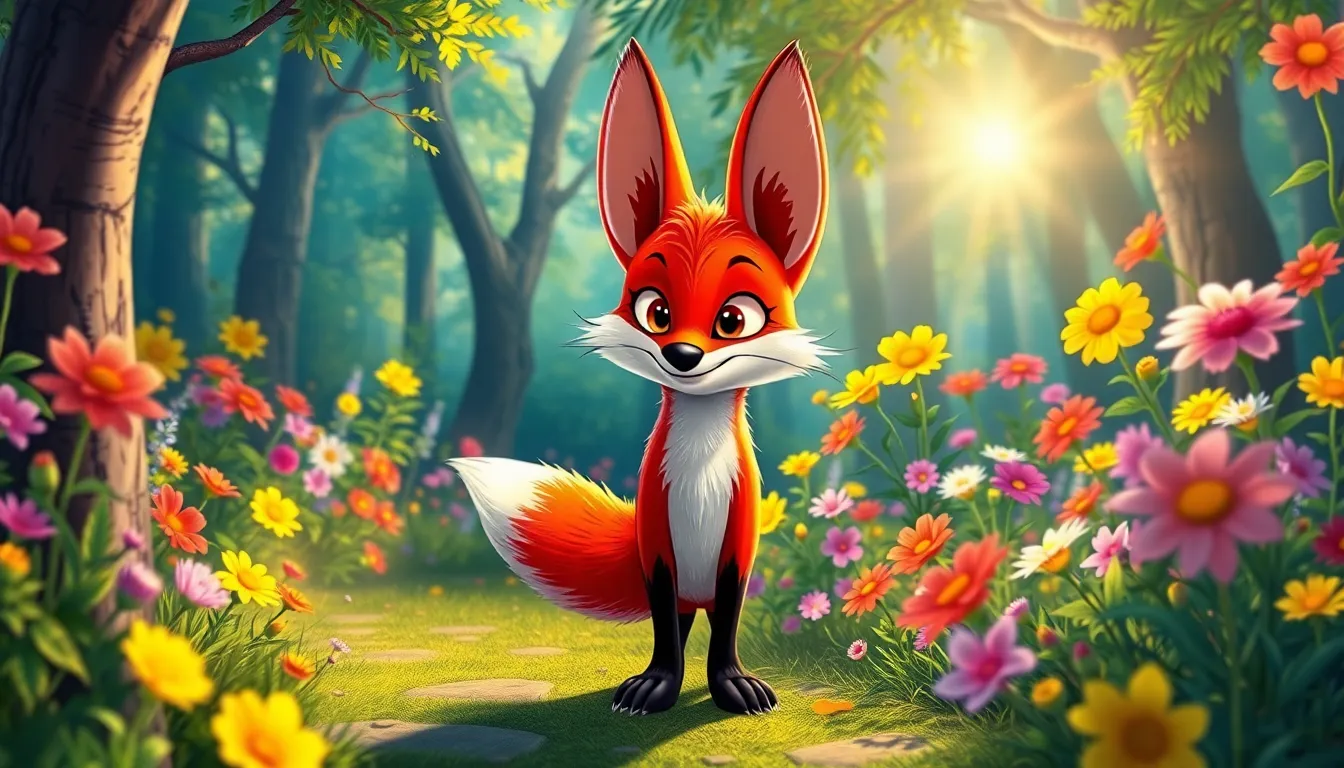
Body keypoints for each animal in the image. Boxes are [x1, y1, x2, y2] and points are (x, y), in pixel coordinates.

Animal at [449, 38, 831, 716]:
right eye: (656, 311)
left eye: (734, 319)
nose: (682, 354)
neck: (700, 468)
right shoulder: (656, 545)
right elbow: (664, 634)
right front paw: (658, 685)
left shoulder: (738, 547)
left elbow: (728, 629)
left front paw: (731, 684)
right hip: (676, 579)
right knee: (677, 621)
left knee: (708, 620)